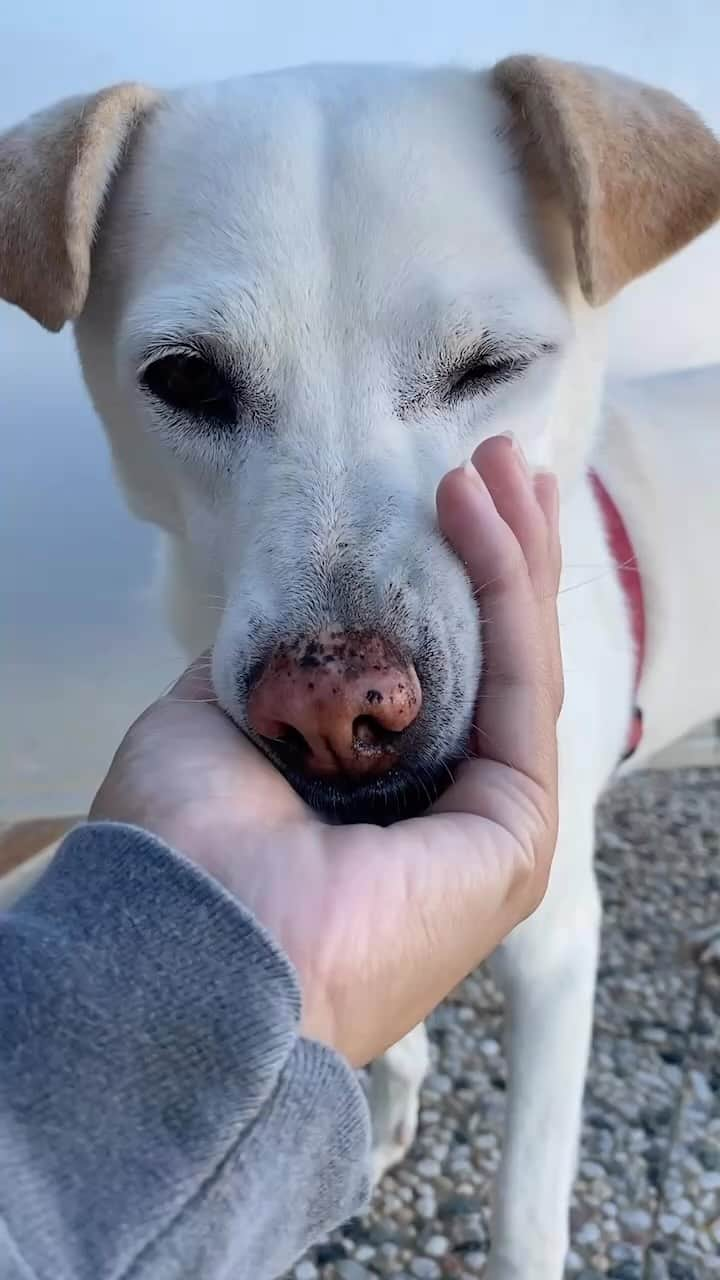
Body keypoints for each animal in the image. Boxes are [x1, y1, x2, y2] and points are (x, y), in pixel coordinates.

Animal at [4, 55, 717, 1274]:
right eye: (186, 380)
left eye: (492, 366)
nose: (337, 711)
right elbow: (399, 1034)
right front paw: (382, 1118)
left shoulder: (558, 949)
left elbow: (526, 1211)